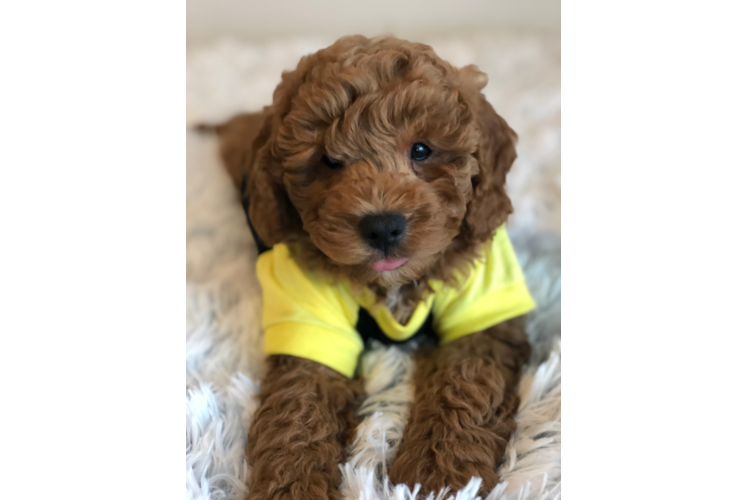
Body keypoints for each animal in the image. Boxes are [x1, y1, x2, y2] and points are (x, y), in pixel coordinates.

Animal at [210, 36, 532, 500]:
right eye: (328, 161)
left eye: (421, 150)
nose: (382, 226)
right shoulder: (309, 318)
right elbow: (299, 405)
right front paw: (293, 485)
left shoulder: (483, 302)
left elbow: (466, 384)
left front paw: (439, 475)